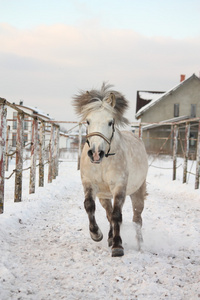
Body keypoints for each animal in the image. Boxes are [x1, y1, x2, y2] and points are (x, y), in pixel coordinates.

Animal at [73, 83, 148, 256]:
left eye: (110, 122)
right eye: (88, 121)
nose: (95, 153)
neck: (103, 163)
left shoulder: (119, 187)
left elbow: (117, 215)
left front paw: (117, 246)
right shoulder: (89, 184)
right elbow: (89, 206)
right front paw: (96, 234)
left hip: (137, 192)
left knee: (137, 219)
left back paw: (140, 245)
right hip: (104, 196)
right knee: (108, 214)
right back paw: (108, 237)